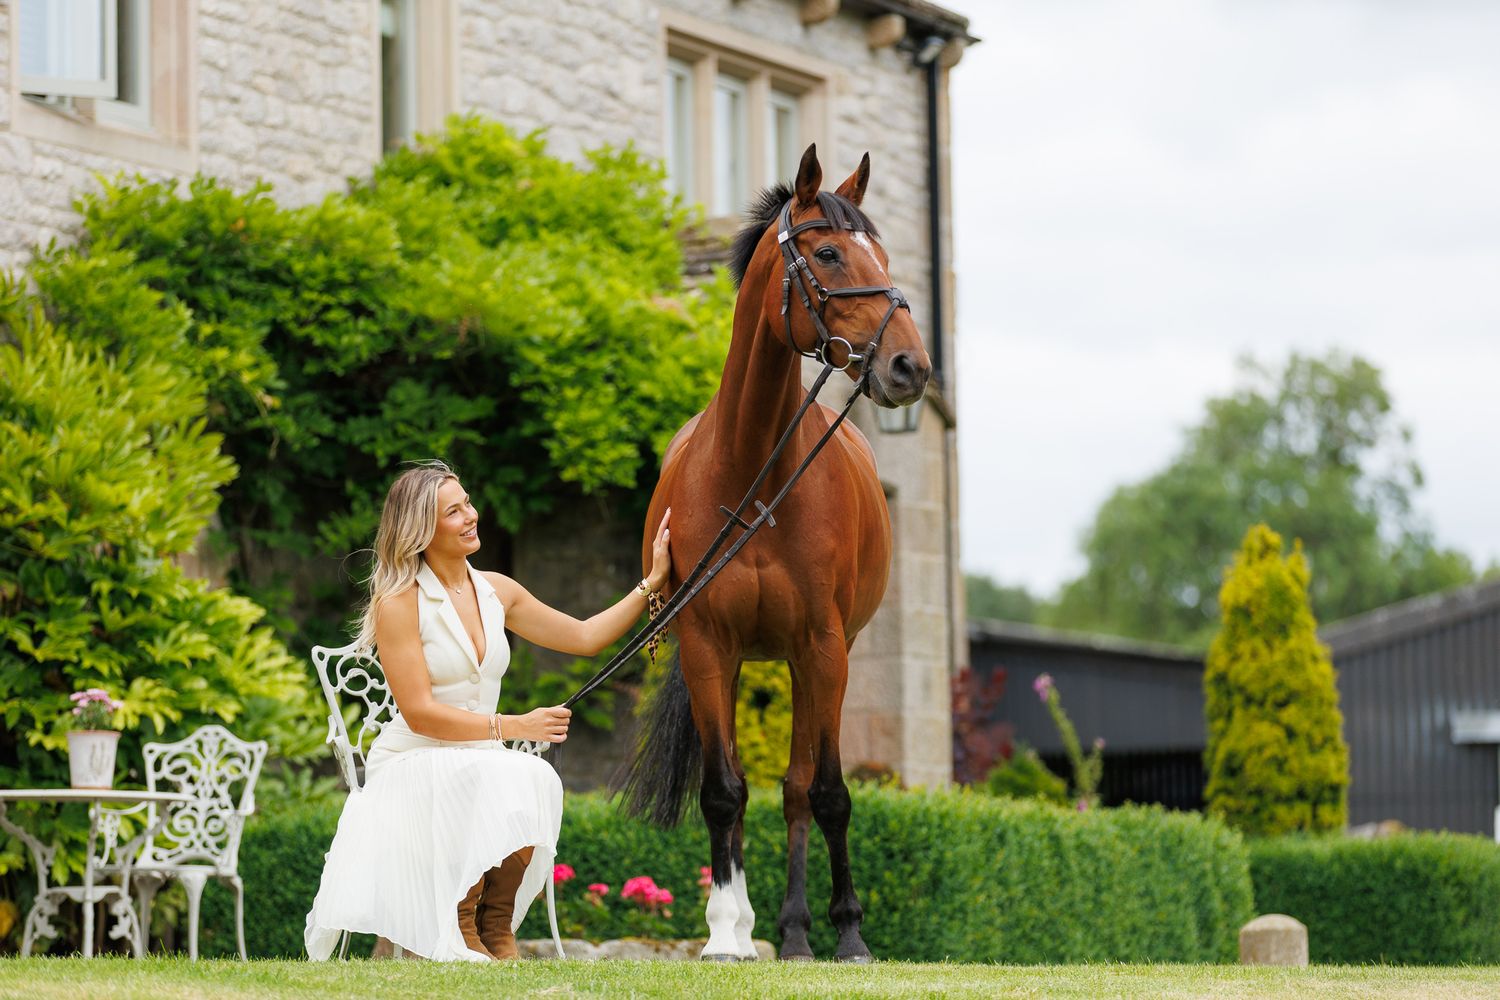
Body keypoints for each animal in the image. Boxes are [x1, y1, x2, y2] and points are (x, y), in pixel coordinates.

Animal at [622, 144, 931, 962]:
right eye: (827, 253)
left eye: (884, 254)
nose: (910, 367)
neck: (752, 471)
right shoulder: (707, 646)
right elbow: (724, 791)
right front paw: (725, 932)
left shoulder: (822, 645)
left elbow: (823, 792)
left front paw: (847, 932)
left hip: (815, 660)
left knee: (799, 789)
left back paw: (799, 931)